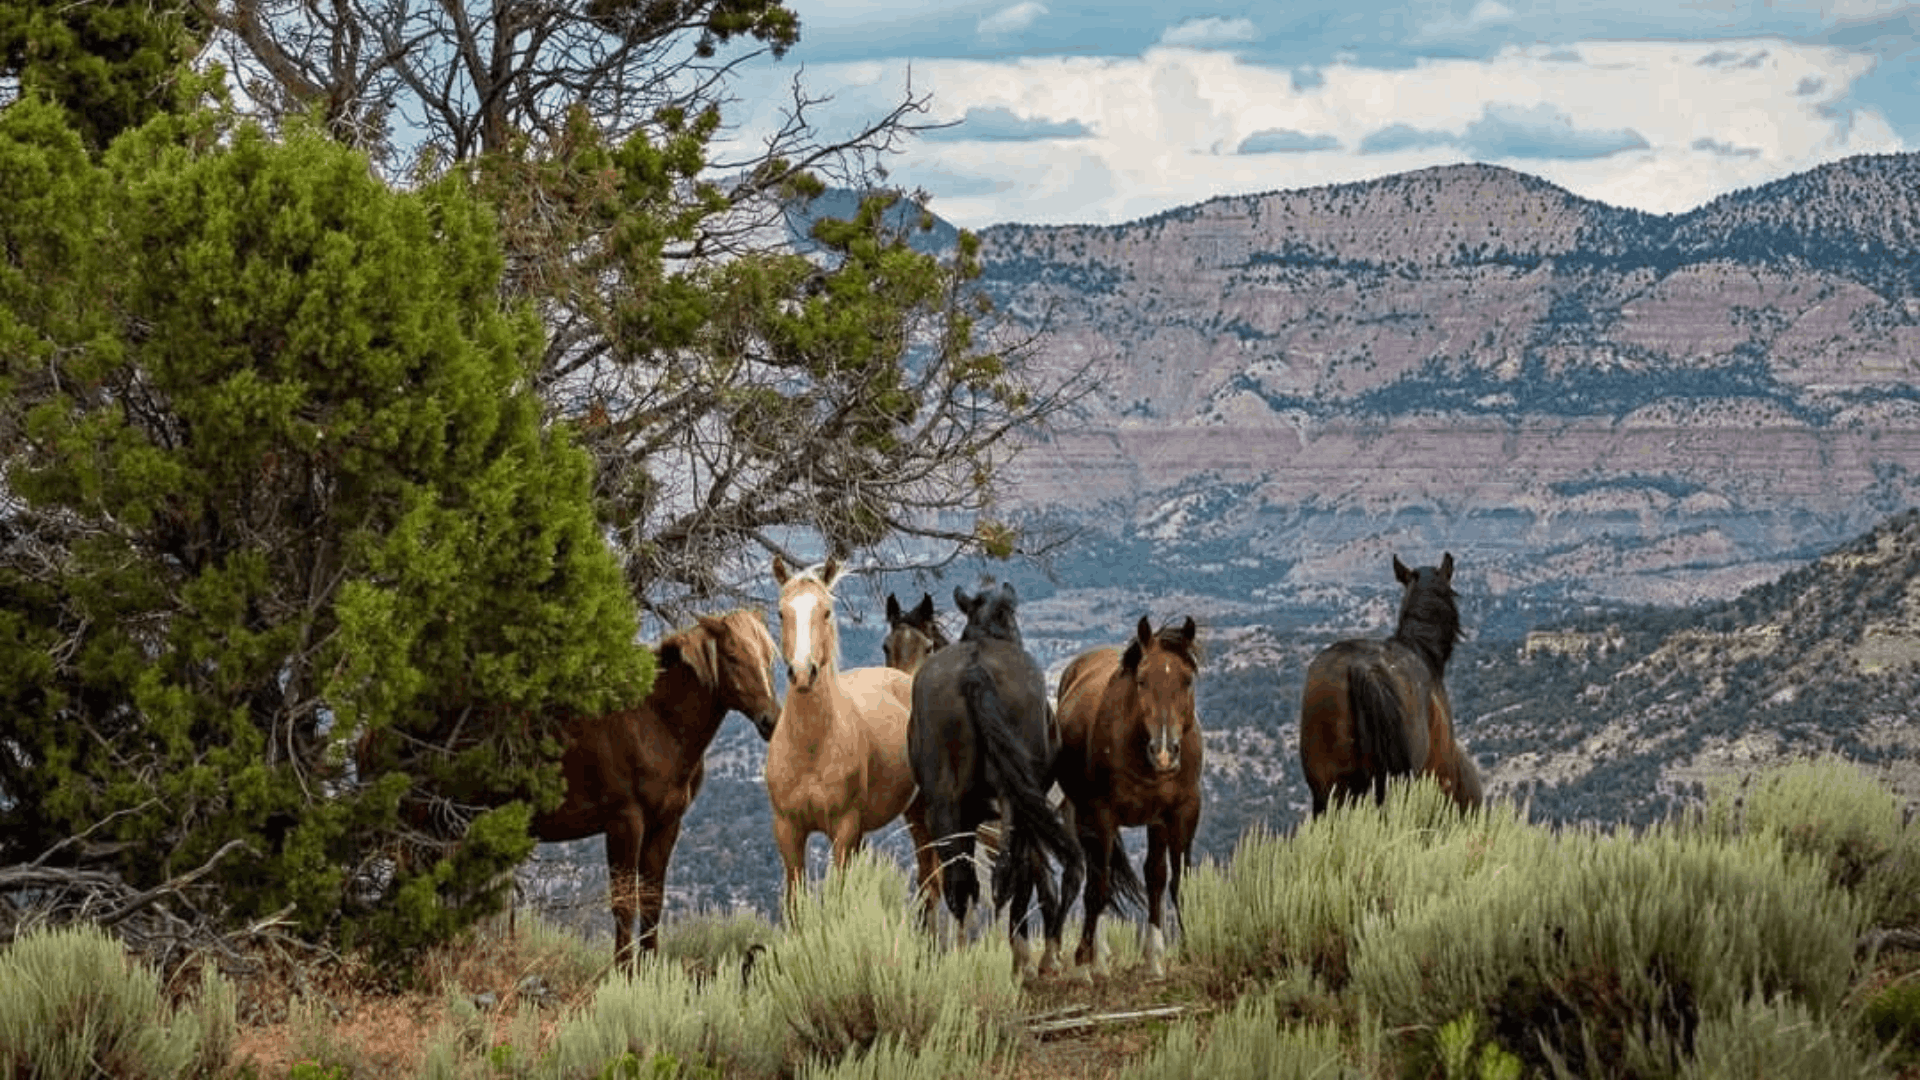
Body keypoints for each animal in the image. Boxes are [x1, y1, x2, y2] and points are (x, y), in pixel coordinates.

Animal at [356, 608, 781, 970]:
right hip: (417, 832)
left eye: (766, 655)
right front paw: (623, 975)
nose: (771, 720)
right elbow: (624, 904)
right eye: (732, 656)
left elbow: (652, 901)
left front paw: (650, 972)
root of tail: (373, 735)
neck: (654, 722)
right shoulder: (625, 822)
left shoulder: (666, 824)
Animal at [765, 556, 940, 916]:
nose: (802, 673)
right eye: (781, 612)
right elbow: (795, 904)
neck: (812, 746)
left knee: (935, 883)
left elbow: (840, 899)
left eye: (826, 612)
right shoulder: (788, 831)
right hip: (910, 815)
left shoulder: (843, 830)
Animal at [907, 581, 1083, 977]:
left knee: (961, 882)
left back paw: (964, 958)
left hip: (945, 805)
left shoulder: (970, 817)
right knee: (1012, 873)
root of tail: (975, 668)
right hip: (1015, 804)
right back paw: (1022, 960)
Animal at [1054, 615, 1201, 979]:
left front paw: (1163, 956)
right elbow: (1098, 888)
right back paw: (1086, 959)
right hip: (1081, 815)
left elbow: (1169, 880)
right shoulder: (1101, 814)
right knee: (1092, 877)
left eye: (1187, 680)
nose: (1164, 753)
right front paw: (1084, 961)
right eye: (1142, 680)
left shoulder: (1179, 813)